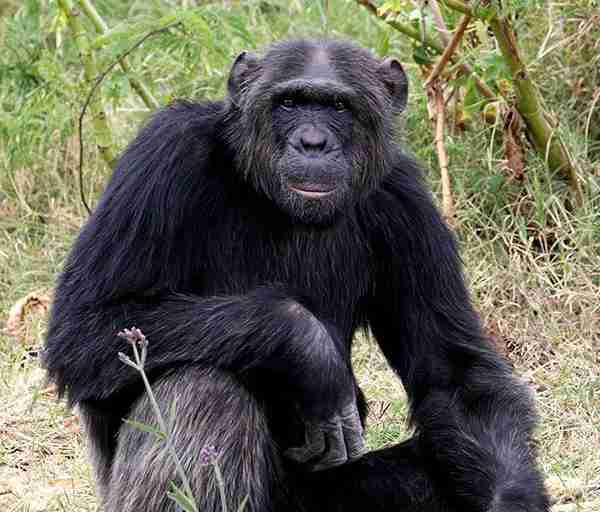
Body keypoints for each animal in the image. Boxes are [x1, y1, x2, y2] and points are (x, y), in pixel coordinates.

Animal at [42, 39, 548, 512]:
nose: (312, 141)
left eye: (338, 107)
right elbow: (86, 326)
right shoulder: (163, 153)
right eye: (289, 102)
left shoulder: (408, 204)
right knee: (203, 388)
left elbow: (453, 374)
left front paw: (514, 499)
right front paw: (308, 347)